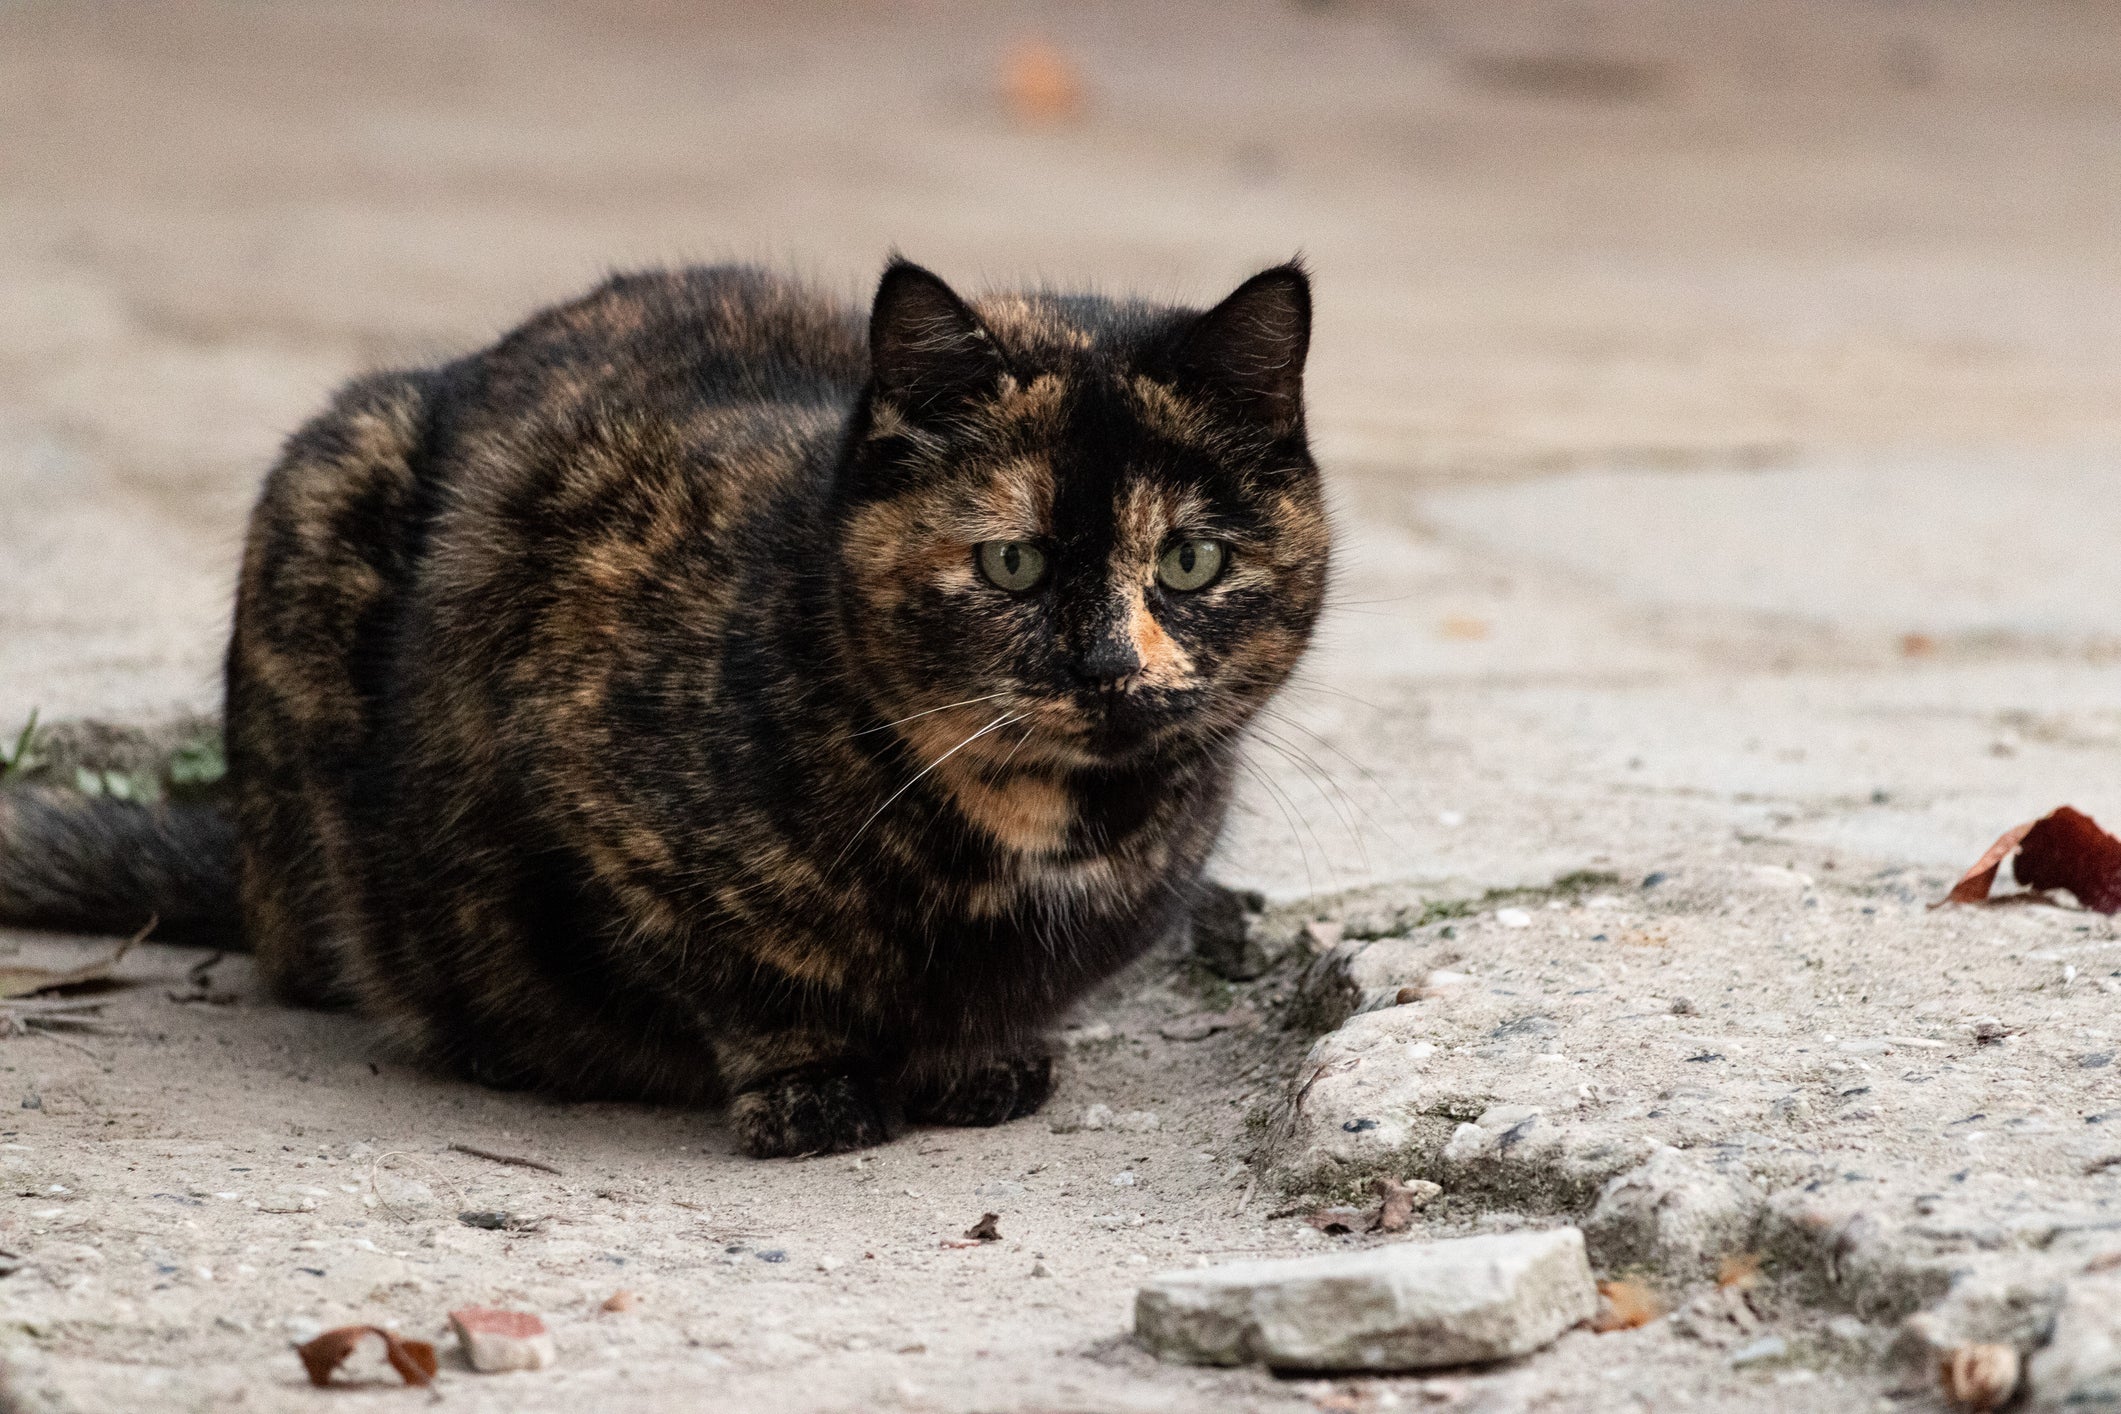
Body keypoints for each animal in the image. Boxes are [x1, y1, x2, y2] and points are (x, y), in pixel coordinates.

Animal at [0, 259, 1323, 1153]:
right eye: (1013, 564)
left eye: (1190, 563)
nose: (1109, 666)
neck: (1042, 824)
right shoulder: (578, 787)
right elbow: (742, 975)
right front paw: (807, 1088)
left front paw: (975, 1060)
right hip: (326, 480)